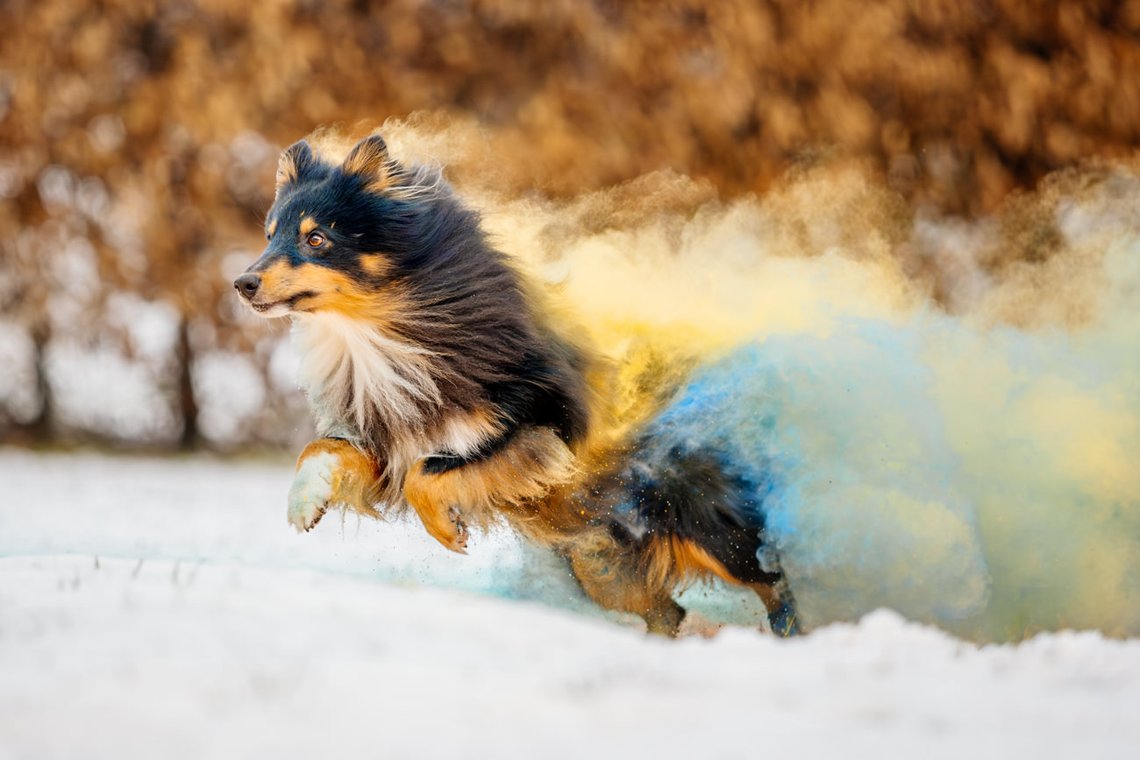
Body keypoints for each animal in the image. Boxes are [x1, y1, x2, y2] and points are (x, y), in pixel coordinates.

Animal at [235, 132, 798, 638]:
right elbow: (327, 449)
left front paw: (449, 532)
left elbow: (429, 472)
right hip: (597, 558)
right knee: (666, 611)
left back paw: (784, 632)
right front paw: (304, 503)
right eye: (269, 235)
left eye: (316, 239)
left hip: (700, 522)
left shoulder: (539, 423)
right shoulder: (390, 438)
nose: (241, 284)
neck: (381, 332)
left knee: (768, 578)